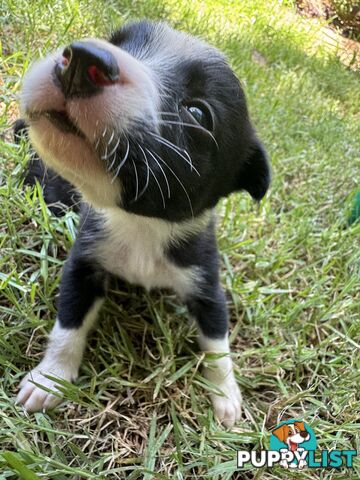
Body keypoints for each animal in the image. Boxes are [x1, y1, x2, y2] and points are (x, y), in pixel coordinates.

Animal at [16, 19, 270, 428]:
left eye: (197, 113)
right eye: (118, 42)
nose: (83, 58)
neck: (142, 226)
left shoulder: (205, 280)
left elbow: (218, 342)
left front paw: (226, 395)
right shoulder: (84, 262)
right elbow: (69, 322)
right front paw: (50, 377)